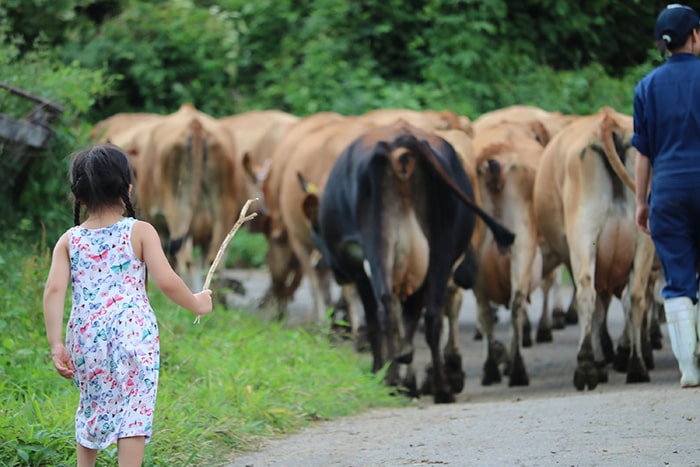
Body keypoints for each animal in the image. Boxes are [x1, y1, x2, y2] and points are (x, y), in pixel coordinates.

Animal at [298, 120, 512, 402]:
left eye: (316, 231)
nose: (332, 271)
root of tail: (400, 143)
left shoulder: (357, 266)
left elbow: (375, 317)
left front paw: (384, 370)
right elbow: (410, 314)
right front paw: (404, 366)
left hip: (382, 243)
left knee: (388, 308)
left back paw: (396, 378)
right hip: (440, 248)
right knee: (429, 314)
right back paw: (438, 386)